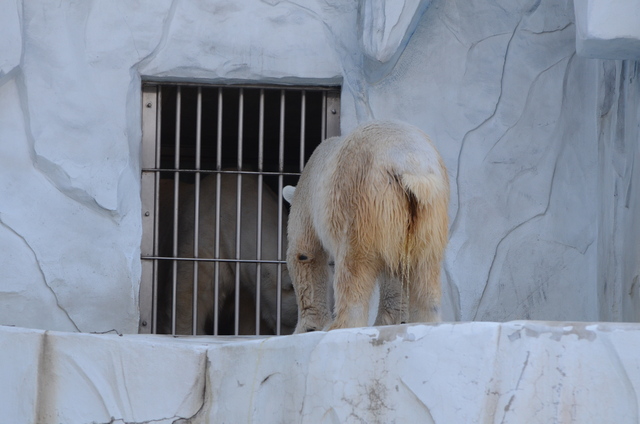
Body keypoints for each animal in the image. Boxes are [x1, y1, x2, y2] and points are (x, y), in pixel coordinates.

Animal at [282, 121, 448, 332]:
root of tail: (409, 163)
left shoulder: (307, 198)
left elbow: (304, 253)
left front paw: (310, 327)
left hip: (360, 199)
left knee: (354, 266)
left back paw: (341, 324)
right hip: (429, 211)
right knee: (424, 266)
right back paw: (424, 320)